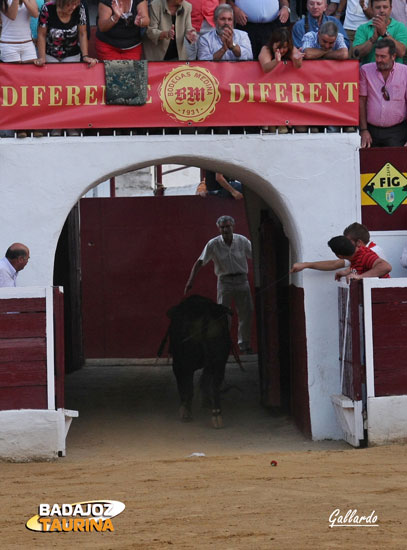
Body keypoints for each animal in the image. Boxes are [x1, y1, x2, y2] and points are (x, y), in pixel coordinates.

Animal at [162, 296, 233, 430]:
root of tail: (206, 312)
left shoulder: (178, 364)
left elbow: (183, 385)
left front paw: (184, 408)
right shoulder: (210, 363)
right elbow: (205, 378)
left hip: (187, 361)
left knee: (189, 386)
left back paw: (186, 413)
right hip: (220, 359)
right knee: (215, 385)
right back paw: (216, 414)